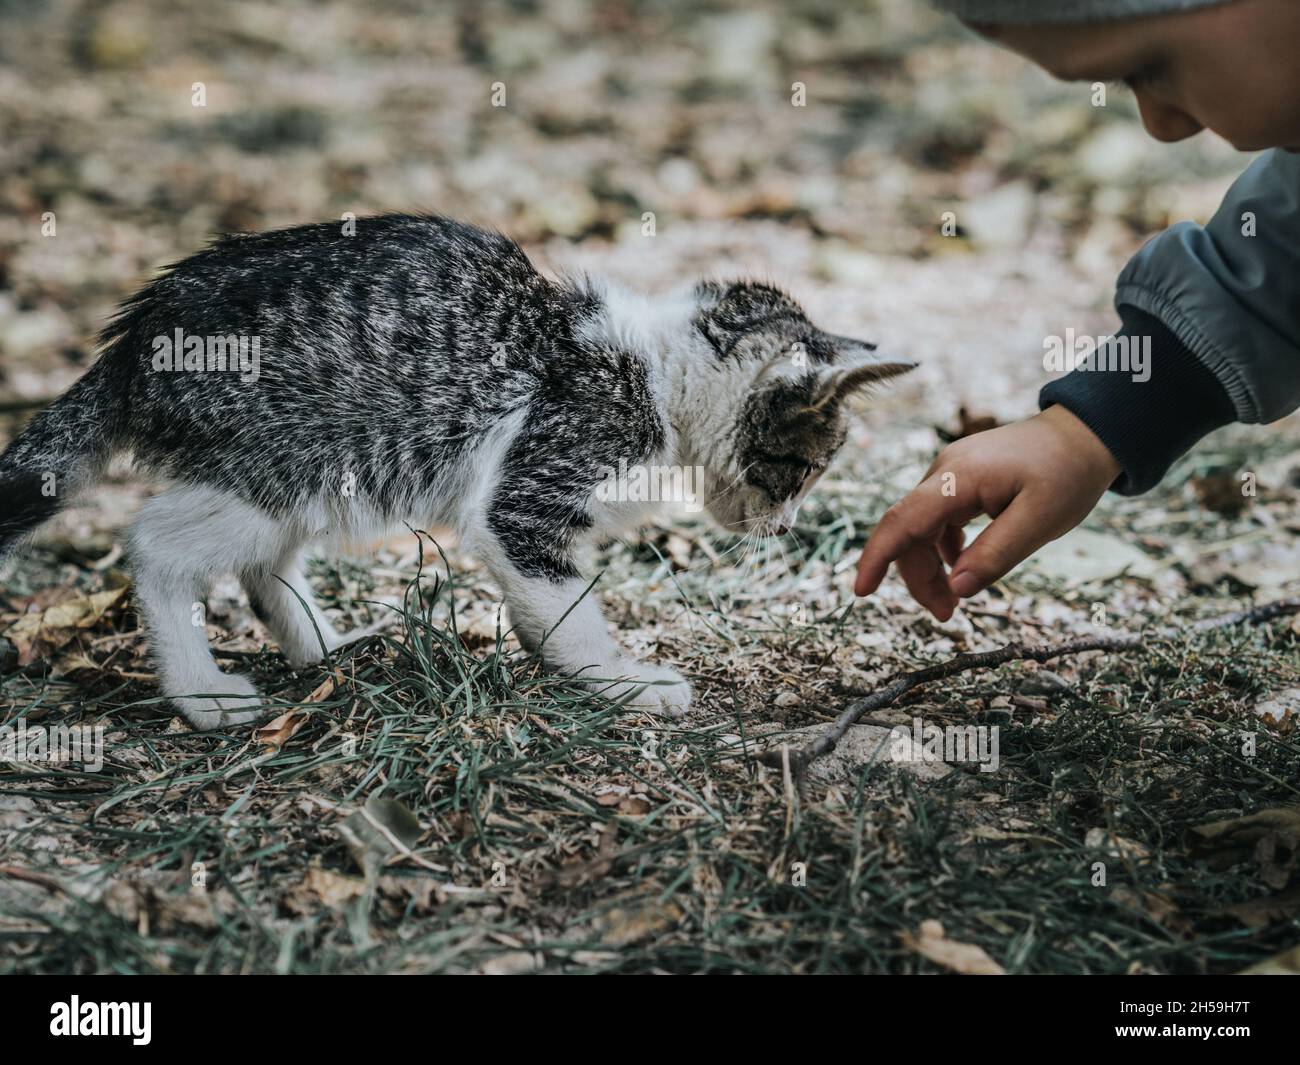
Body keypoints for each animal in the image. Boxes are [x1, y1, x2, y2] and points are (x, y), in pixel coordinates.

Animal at [0, 217, 915, 733]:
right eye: (801, 470)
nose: (786, 527)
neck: (657, 371)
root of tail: (132, 336)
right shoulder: (534, 491)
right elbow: (568, 612)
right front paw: (621, 681)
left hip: (308, 473)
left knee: (262, 559)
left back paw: (320, 644)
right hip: (278, 459)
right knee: (155, 544)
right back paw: (200, 694)